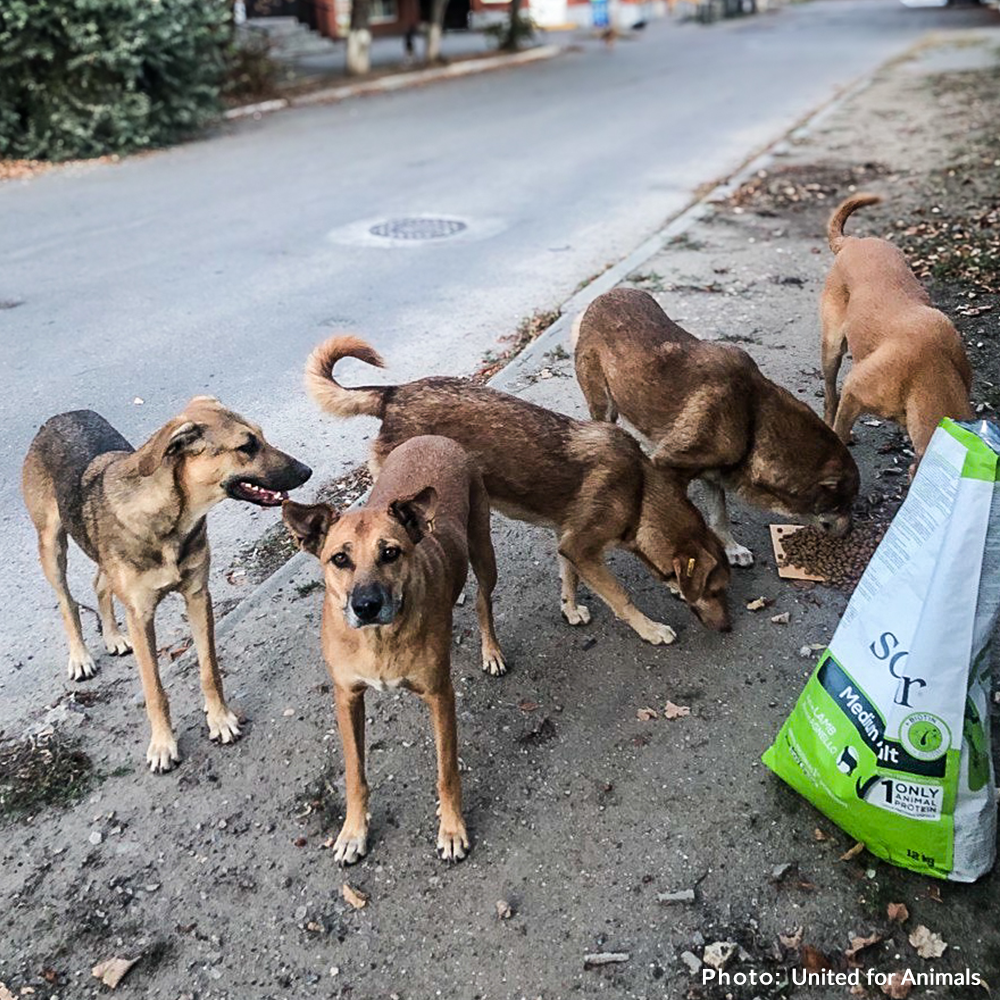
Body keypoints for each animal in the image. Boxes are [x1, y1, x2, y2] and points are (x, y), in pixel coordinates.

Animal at [24, 398, 312, 772]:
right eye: (247, 446)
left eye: (261, 437)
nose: (306, 471)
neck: (172, 518)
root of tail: (59, 417)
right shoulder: (141, 616)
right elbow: (154, 690)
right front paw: (162, 744)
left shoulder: (198, 597)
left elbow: (209, 670)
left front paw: (220, 719)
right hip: (51, 546)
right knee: (67, 602)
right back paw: (80, 657)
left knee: (99, 582)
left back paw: (113, 636)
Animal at [282, 434, 504, 864]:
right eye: (339, 558)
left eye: (390, 553)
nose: (366, 605)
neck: (378, 639)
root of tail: (433, 437)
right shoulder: (347, 697)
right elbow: (355, 772)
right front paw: (353, 831)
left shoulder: (440, 696)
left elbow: (447, 770)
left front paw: (452, 828)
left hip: (483, 548)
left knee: (484, 601)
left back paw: (491, 649)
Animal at [300, 340, 732, 644]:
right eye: (715, 591)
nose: (728, 628)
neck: (639, 493)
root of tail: (394, 393)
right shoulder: (583, 548)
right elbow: (622, 598)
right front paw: (651, 629)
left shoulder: (568, 542)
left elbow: (569, 579)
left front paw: (570, 609)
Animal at [572, 292, 860, 572]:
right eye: (844, 504)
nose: (851, 533)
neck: (752, 420)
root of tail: (602, 298)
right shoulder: (668, 469)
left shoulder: (713, 473)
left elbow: (720, 516)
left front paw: (731, 548)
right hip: (604, 406)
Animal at [820, 197, 968, 478]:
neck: (933, 370)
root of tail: (852, 241)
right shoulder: (853, 391)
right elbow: (841, 427)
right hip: (832, 349)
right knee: (831, 397)